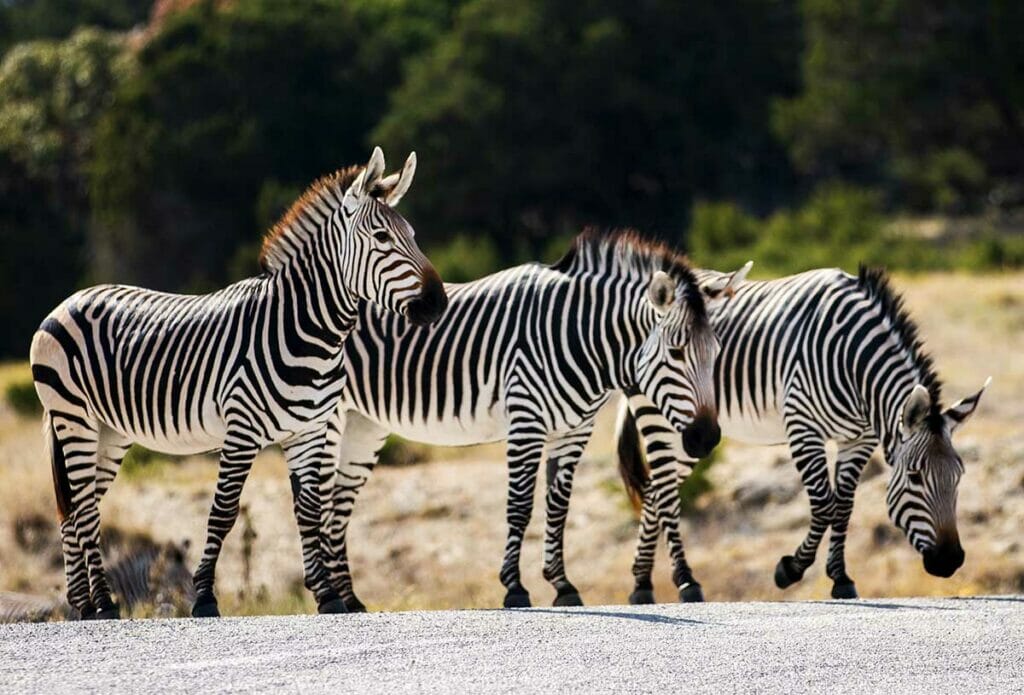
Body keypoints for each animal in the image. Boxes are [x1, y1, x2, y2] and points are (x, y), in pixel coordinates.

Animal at [29, 147, 448, 619]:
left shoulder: (309, 431)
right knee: (82, 508)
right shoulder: (242, 429)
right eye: (380, 237)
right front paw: (205, 598)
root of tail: (70, 299)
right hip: (73, 417)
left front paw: (328, 597)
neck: (306, 329)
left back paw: (82, 605)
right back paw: (103, 603)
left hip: (108, 430)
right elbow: (224, 511)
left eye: (412, 235)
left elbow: (309, 512)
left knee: (77, 510)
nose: (436, 303)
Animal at [323, 231, 744, 610]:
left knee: (340, 500)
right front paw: (515, 587)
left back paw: (349, 599)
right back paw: (331, 596)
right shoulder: (526, 423)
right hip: (330, 415)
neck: (578, 337)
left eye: (717, 351)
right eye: (676, 352)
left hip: (363, 423)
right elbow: (520, 505)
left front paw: (562, 585)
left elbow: (558, 506)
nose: (707, 438)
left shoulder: (574, 430)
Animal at [600, 266, 988, 602]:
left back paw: (641, 584)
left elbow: (843, 506)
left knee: (654, 491)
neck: (853, 361)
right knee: (664, 490)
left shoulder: (858, 440)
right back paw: (681, 582)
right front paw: (791, 569)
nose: (950, 561)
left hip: (689, 435)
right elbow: (823, 504)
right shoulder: (803, 427)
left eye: (958, 477)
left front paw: (841, 578)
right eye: (914, 477)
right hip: (658, 414)